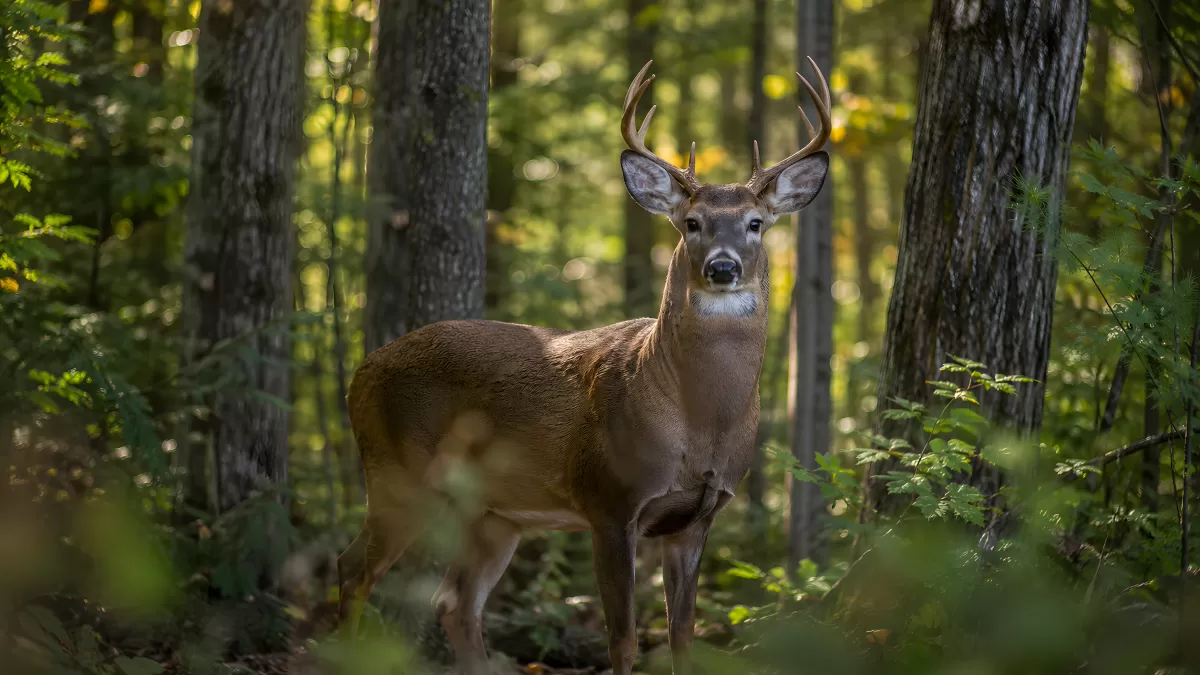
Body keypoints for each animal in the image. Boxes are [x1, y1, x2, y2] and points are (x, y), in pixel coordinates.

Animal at [336, 58, 831, 675]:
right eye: (692, 222)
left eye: (756, 223)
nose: (722, 268)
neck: (699, 425)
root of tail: (361, 371)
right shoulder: (609, 500)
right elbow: (623, 640)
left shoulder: (698, 517)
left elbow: (683, 637)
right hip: (395, 471)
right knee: (354, 571)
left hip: (494, 514)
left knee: (453, 602)